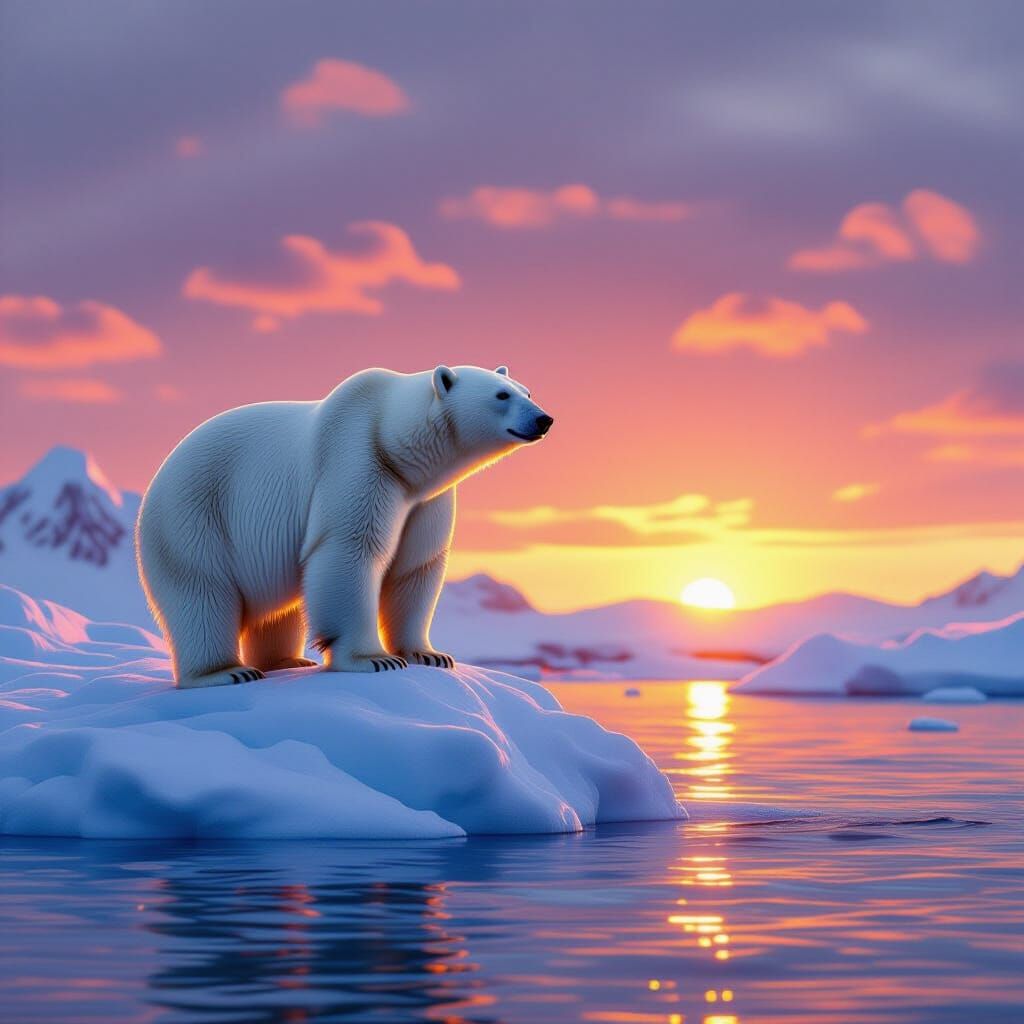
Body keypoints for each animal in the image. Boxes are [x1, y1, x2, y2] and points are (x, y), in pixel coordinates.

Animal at [136, 365, 553, 688]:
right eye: (501, 395)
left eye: (527, 391)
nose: (544, 418)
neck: (392, 439)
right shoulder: (357, 460)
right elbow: (351, 550)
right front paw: (375, 659)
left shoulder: (424, 499)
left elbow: (416, 565)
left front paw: (430, 654)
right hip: (195, 515)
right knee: (202, 592)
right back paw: (227, 672)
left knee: (278, 611)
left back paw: (287, 661)